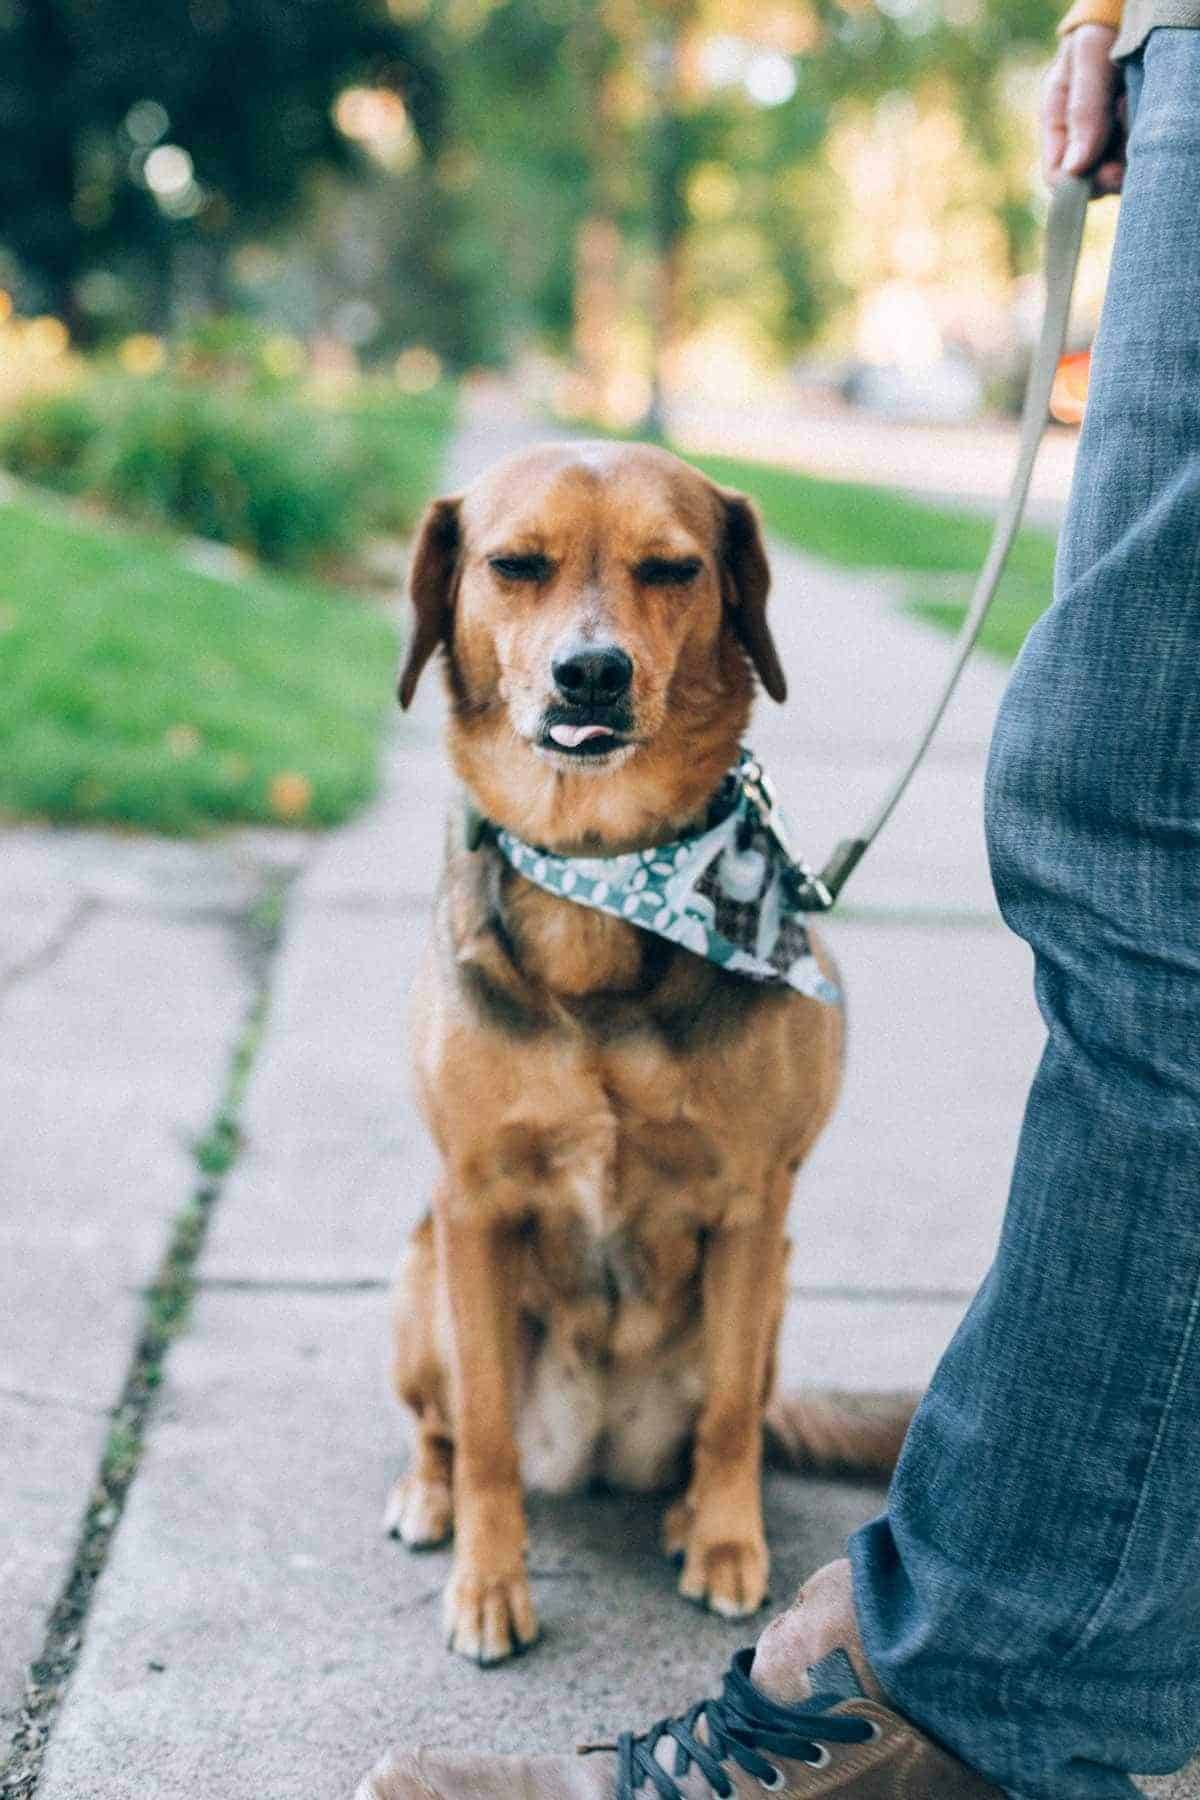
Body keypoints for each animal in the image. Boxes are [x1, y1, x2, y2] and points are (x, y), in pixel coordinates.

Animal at [386, 442, 899, 1663]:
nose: (592, 674)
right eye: (514, 565)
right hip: (420, 1272)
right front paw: (490, 1584)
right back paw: (431, 1498)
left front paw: (724, 1545)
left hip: (771, 1295)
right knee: (444, 1427)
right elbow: (484, 1429)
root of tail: (592, 1446)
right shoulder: (473, 1203)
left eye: (673, 570)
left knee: (729, 1417)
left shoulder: (755, 1208)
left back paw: (685, 1513)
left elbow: (727, 1420)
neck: (607, 873)